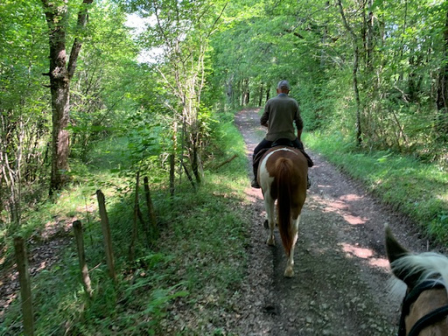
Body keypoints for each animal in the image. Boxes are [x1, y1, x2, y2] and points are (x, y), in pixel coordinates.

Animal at [260, 146, 308, 276]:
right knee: (293, 231)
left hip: (268, 196)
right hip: (297, 201)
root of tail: (284, 161)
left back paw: (270, 241)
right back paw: (289, 267)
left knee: (271, 222)